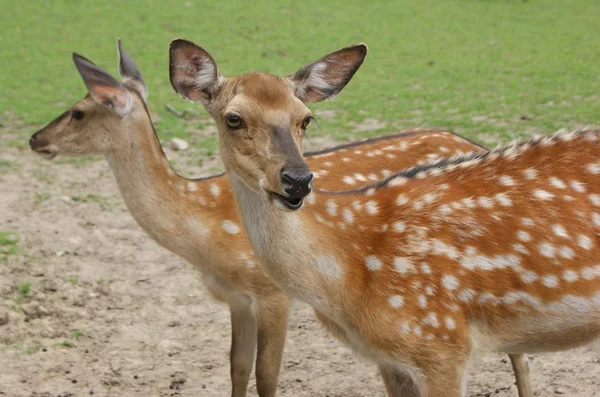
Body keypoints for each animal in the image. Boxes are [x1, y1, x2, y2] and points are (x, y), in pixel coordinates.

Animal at [24, 39, 528, 396]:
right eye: (233, 118)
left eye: (78, 111)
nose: (34, 139)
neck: (202, 233)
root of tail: (477, 143)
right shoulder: (236, 298)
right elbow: (235, 368)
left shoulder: (272, 293)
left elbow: (267, 377)